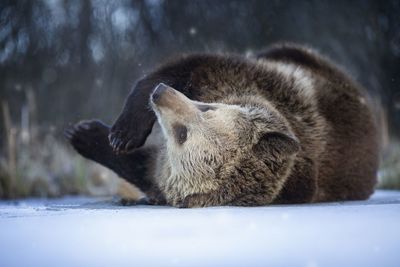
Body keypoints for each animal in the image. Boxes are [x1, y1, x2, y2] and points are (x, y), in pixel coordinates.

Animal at [64, 43, 380, 208]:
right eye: (208, 107)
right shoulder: (239, 79)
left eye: (182, 134)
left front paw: (86, 135)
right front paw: (121, 133)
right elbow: (183, 66)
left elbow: (141, 167)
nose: (162, 94)